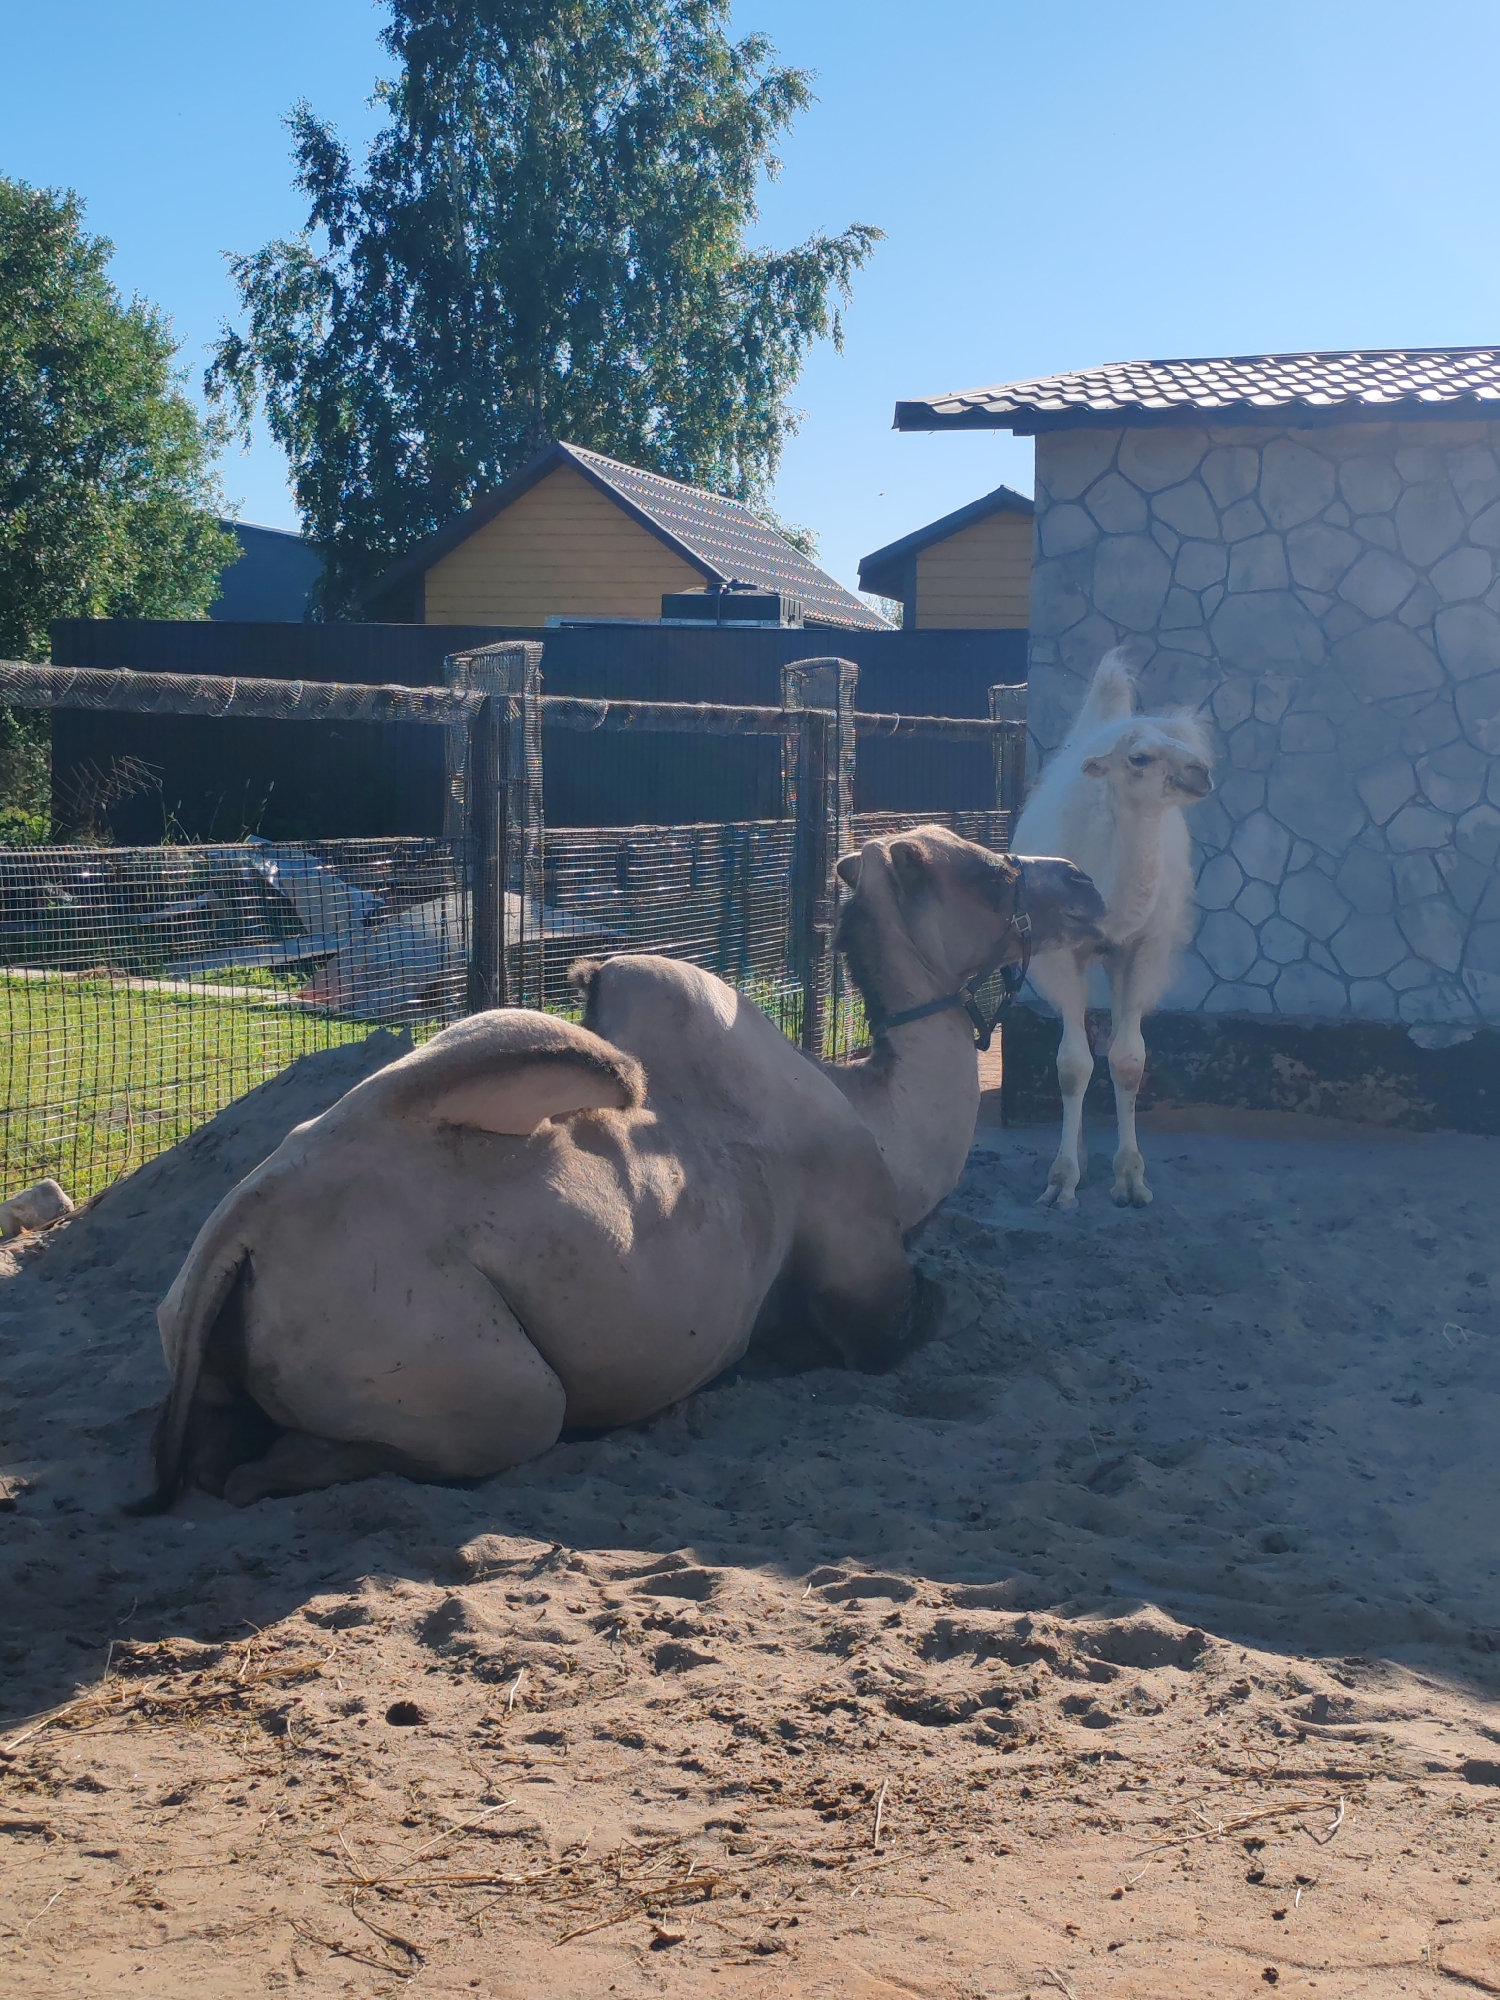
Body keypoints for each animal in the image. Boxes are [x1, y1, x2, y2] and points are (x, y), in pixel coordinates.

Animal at [129, 827, 1101, 1510]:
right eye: (989, 869)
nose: (1086, 882)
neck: (881, 1123)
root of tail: (241, 1242)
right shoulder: (861, 1278)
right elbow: (926, 1311)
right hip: (440, 1349)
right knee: (491, 1421)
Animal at [1012, 650, 1214, 1211]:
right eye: (1140, 757)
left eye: (1185, 746)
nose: (1202, 771)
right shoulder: (1062, 954)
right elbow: (1071, 1064)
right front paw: (1062, 1180)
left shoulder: (1141, 948)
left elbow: (1128, 1060)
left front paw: (1131, 1179)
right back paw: (1077, 1154)